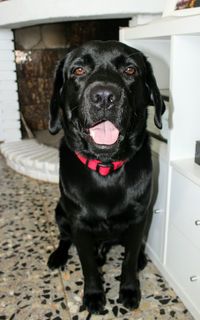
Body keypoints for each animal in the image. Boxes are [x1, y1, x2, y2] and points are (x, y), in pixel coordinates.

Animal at [47, 40, 165, 312]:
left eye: (130, 70)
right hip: (60, 212)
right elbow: (88, 265)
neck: (106, 168)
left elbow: (128, 260)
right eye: (78, 70)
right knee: (64, 238)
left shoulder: (138, 219)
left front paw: (129, 290)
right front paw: (93, 295)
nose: (103, 97)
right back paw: (58, 256)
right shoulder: (79, 225)